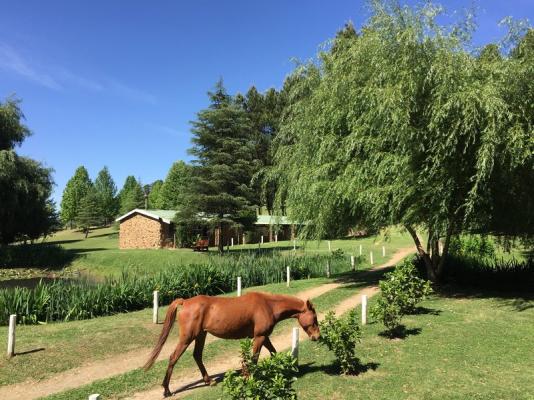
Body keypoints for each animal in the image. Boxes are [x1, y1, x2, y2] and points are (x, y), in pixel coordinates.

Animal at [144, 290, 320, 396]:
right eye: (314, 318)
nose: (317, 336)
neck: (268, 305)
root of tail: (185, 302)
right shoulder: (259, 337)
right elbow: (254, 358)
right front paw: (248, 378)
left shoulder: (264, 337)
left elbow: (273, 352)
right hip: (188, 337)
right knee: (173, 358)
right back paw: (167, 390)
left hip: (201, 335)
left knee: (197, 356)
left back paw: (209, 381)